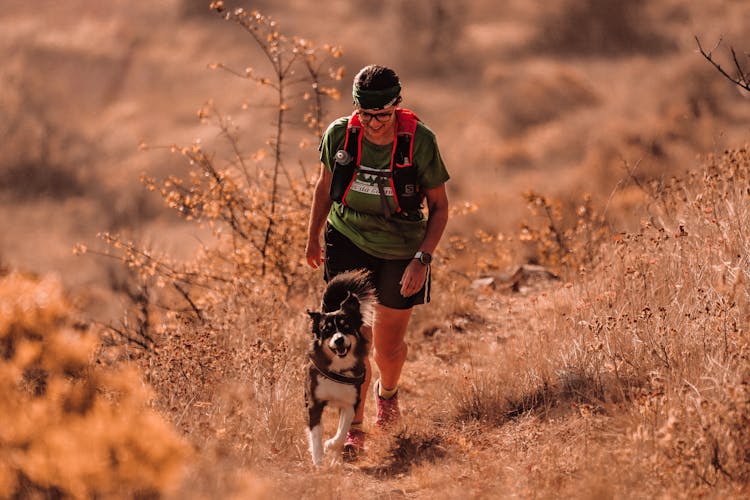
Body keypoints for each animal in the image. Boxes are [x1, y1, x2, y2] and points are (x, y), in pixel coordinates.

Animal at [306, 270, 376, 464]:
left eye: (346, 327)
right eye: (327, 330)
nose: (339, 340)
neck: (338, 368)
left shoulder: (350, 403)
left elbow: (341, 432)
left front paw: (330, 446)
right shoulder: (314, 403)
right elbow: (316, 434)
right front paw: (318, 460)